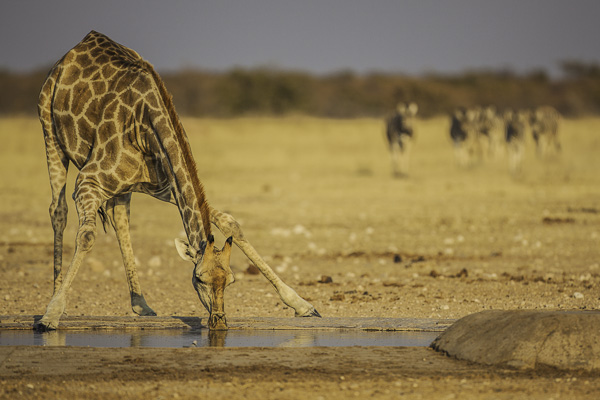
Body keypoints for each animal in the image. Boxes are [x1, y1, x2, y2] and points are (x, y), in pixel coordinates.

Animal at [35, 30, 322, 332]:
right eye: (199, 279)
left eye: (230, 280)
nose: (219, 322)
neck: (144, 130)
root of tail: (80, 44)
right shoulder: (88, 182)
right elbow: (87, 236)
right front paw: (51, 314)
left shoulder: (167, 186)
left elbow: (229, 222)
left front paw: (302, 304)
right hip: (49, 132)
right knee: (58, 210)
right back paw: (55, 299)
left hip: (123, 189)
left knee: (120, 220)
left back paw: (142, 305)